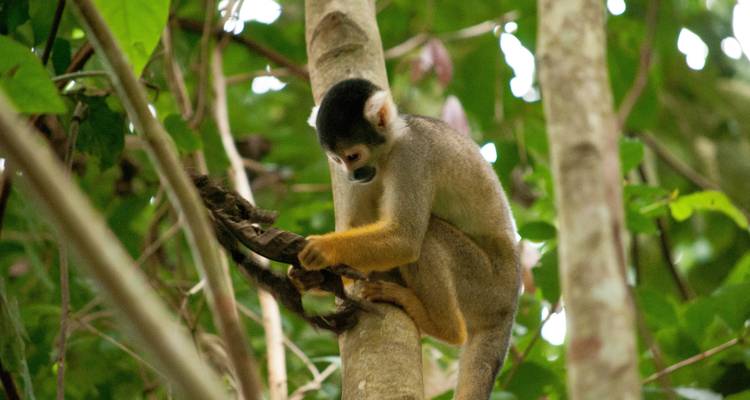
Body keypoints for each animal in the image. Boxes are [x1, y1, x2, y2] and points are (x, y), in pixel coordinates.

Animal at [298, 78, 521, 399]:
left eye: (353, 156)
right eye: (337, 160)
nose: (352, 176)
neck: (392, 144)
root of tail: (510, 305)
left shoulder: (412, 157)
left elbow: (405, 238)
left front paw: (323, 249)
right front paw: (309, 277)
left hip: (487, 286)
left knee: (428, 237)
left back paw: (444, 327)